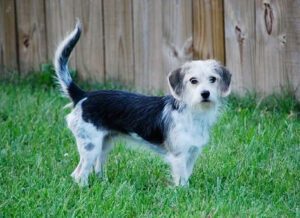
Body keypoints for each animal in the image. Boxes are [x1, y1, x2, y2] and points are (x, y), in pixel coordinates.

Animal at [54, 20, 232, 187]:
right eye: (193, 81)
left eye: (213, 79)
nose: (205, 93)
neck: (192, 113)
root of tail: (82, 95)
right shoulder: (179, 155)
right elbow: (182, 181)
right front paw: (183, 193)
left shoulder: (192, 153)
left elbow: (187, 176)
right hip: (90, 146)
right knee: (79, 174)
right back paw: (85, 189)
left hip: (104, 144)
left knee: (95, 169)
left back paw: (103, 184)